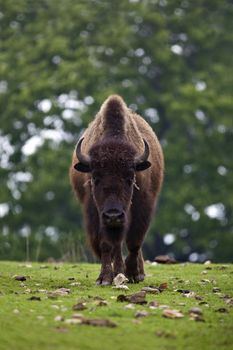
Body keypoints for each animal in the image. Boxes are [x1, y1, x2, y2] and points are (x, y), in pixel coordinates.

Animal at [70, 95, 163, 284]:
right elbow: (107, 245)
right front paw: (105, 278)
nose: (113, 215)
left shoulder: (143, 207)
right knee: (116, 246)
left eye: (130, 178)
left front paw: (133, 273)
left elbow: (134, 242)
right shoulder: (96, 214)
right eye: (95, 178)